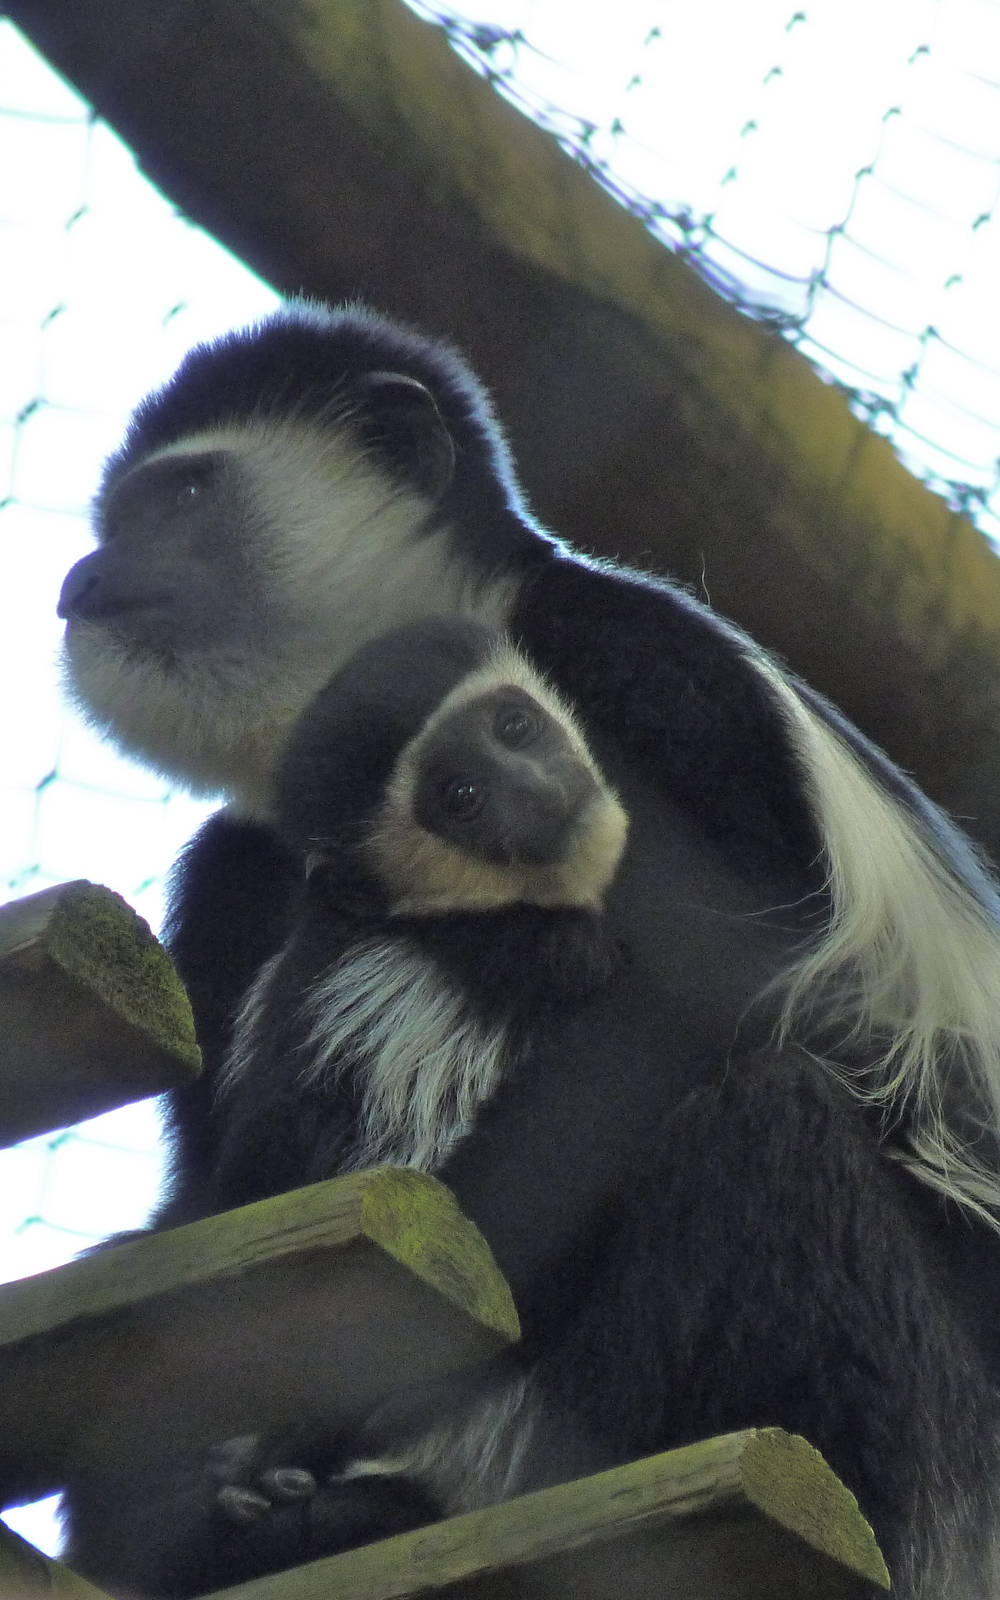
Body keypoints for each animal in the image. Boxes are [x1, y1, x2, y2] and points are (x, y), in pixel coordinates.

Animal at [57, 301, 1000, 1598]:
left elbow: (698, 1012)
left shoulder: (638, 672)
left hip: (938, 1438)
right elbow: (217, 1194)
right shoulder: (235, 863)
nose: (82, 579)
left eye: (186, 493)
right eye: (115, 517)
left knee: (766, 1127)